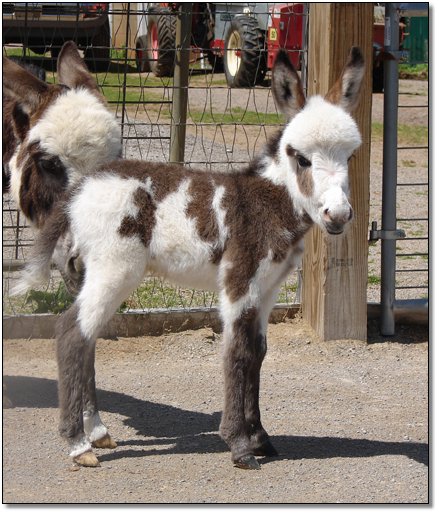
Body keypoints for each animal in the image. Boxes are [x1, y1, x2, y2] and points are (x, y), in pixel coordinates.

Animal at [12, 47, 365, 469]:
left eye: (351, 156)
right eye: (300, 158)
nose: (338, 216)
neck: (267, 201)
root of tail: (82, 187)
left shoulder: (267, 290)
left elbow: (258, 353)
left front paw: (261, 437)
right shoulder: (238, 283)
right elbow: (236, 352)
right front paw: (240, 445)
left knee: (83, 335)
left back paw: (89, 435)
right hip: (115, 269)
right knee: (70, 333)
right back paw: (78, 444)